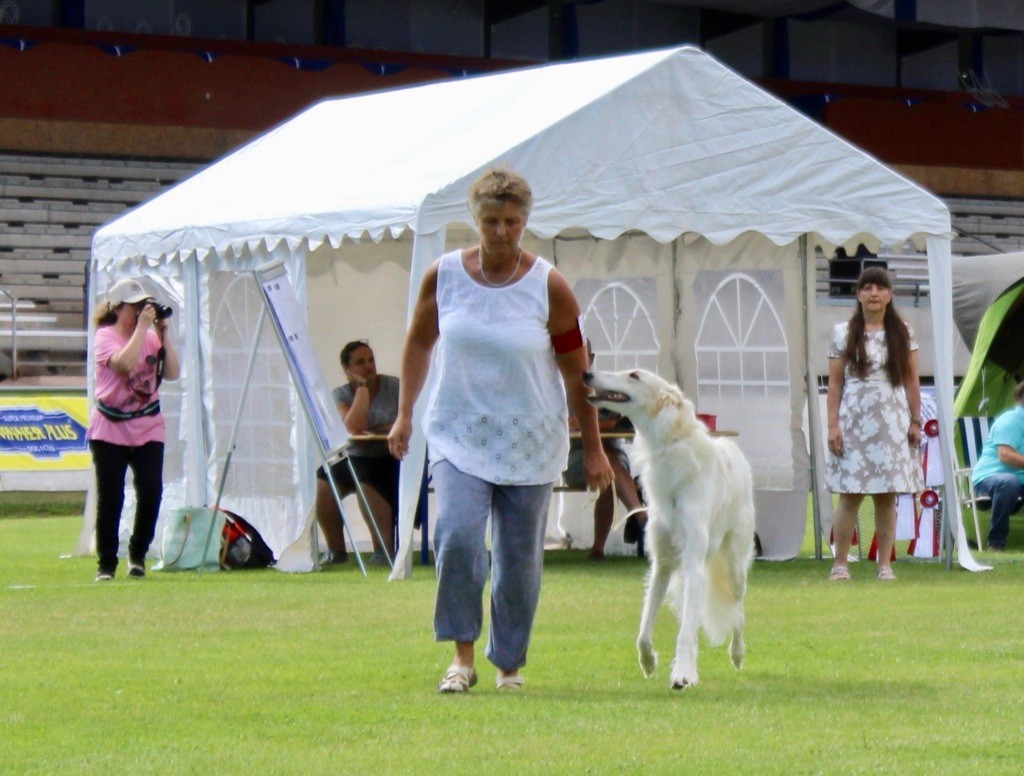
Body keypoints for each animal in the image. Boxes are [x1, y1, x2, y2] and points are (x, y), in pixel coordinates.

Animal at [585, 370, 753, 692]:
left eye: (634, 375)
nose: (587, 373)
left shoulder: (694, 563)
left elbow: (687, 633)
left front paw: (683, 674)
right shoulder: (661, 565)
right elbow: (644, 631)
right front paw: (649, 662)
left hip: (734, 564)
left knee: (738, 609)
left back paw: (738, 654)